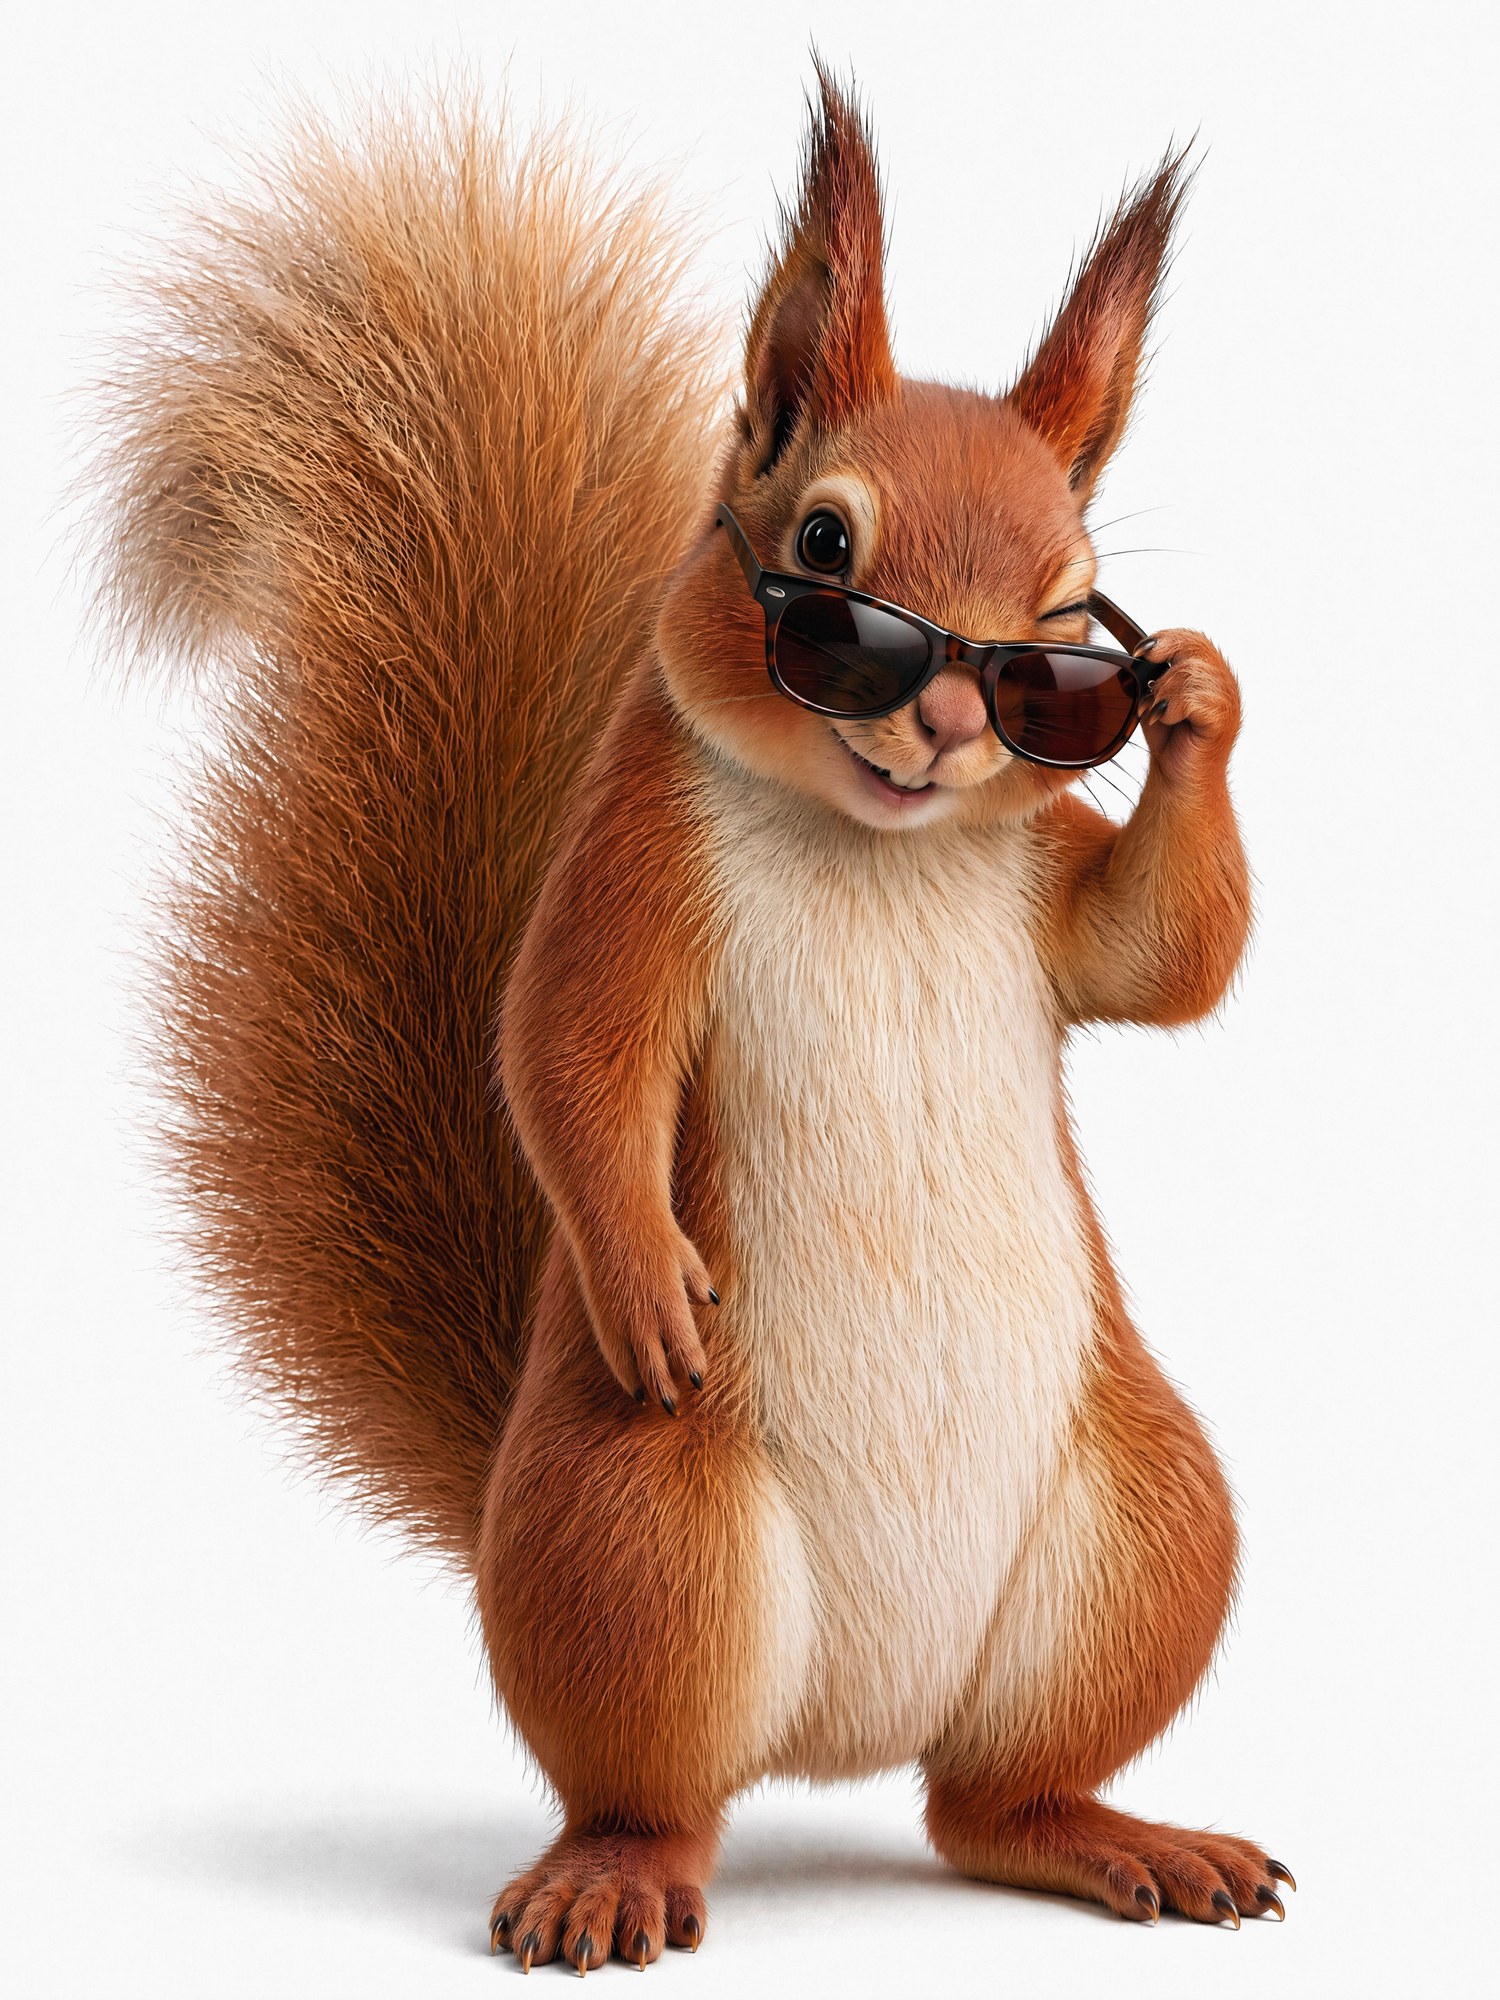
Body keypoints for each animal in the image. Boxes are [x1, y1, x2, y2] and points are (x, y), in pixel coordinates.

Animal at [94, 68, 1291, 1971]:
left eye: (1063, 627)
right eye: (823, 549)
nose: (957, 717)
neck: (873, 840)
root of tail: (845, 1735)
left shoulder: (1047, 886)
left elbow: (1159, 957)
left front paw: (1204, 694)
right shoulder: (629, 878)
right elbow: (565, 1052)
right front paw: (650, 1275)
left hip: (1148, 1526)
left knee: (986, 1806)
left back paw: (1119, 1836)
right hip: (639, 1538)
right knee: (658, 1788)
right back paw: (613, 1877)